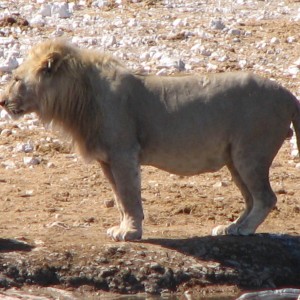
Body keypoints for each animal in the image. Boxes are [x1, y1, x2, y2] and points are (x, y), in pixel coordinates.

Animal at [0, 39, 300, 241]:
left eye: (15, 79)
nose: (2, 101)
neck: (78, 97)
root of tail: (289, 95)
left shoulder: (123, 153)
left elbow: (129, 194)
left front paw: (130, 233)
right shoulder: (107, 160)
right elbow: (120, 197)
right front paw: (123, 227)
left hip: (250, 152)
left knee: (266, 197)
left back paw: (245, 229)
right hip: (234, 160)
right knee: (251, 198)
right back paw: (231, 228)